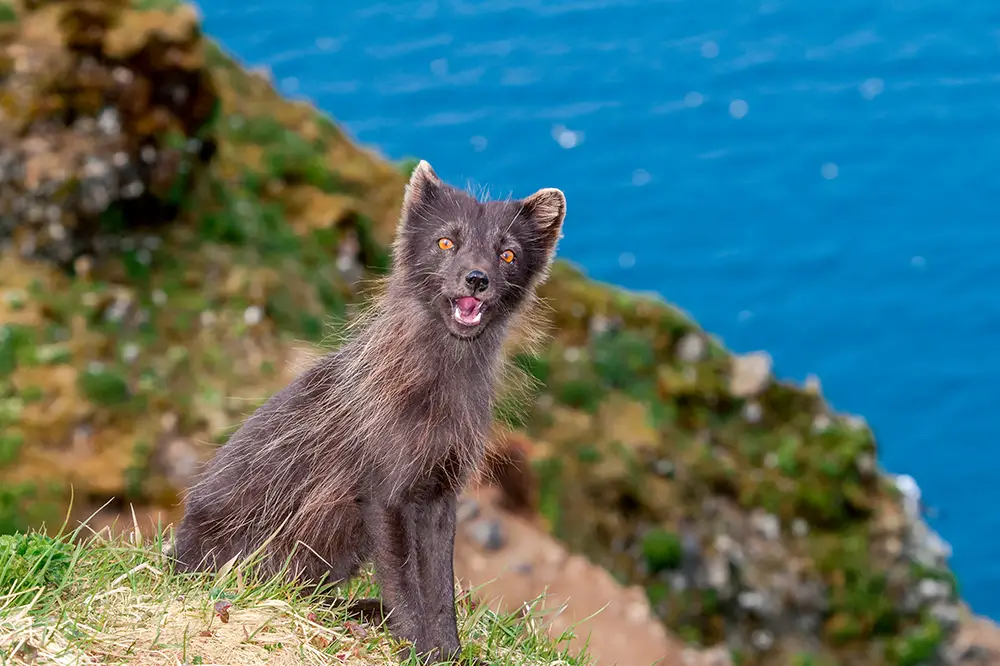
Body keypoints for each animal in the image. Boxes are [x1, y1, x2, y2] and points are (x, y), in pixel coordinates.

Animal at [171, 160, 564, 660]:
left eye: (508, 254)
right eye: (445, 242)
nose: (477, 279)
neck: (438, 390)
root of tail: (176, 556)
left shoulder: (441, 493)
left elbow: (440, 589)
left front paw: (448, 653)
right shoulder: (385, 493)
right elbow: (405, 588)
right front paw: (416, 649)